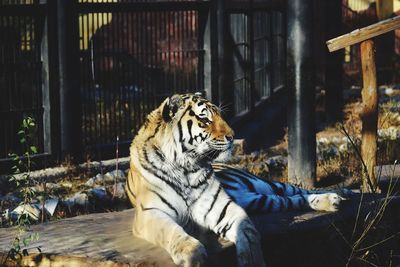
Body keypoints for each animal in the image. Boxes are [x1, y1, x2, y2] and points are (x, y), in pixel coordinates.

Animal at [126, 93, 346, 266]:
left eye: (220, 114)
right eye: (205, 119)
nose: (233, 136)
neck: (185, 168)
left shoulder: (219, 206)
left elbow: (247, 232)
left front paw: (252, 259)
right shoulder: (151, 213)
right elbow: (171, 231)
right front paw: (192, 255)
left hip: (263, 185)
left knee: (298, 191)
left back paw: (338, 195)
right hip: (257, 200)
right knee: (288, 200)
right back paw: (333, 201)